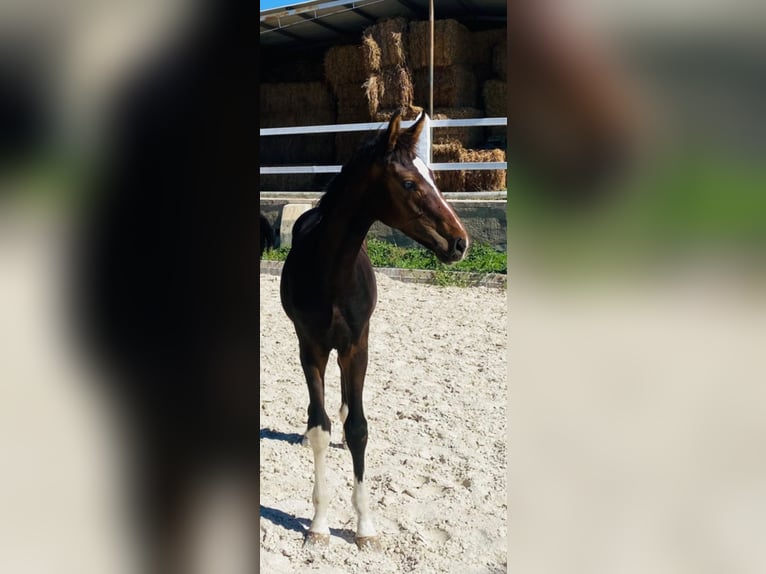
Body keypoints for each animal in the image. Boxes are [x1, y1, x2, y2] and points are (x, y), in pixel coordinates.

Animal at [280, 111, 464, 548]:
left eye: (433, 175)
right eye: (410, 183)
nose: (460, 242)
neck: (332, 274)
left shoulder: (356, 346)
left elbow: (359, 429)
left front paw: (365, 527)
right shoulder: (310, 347)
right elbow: (319, 427)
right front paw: (318, 524)